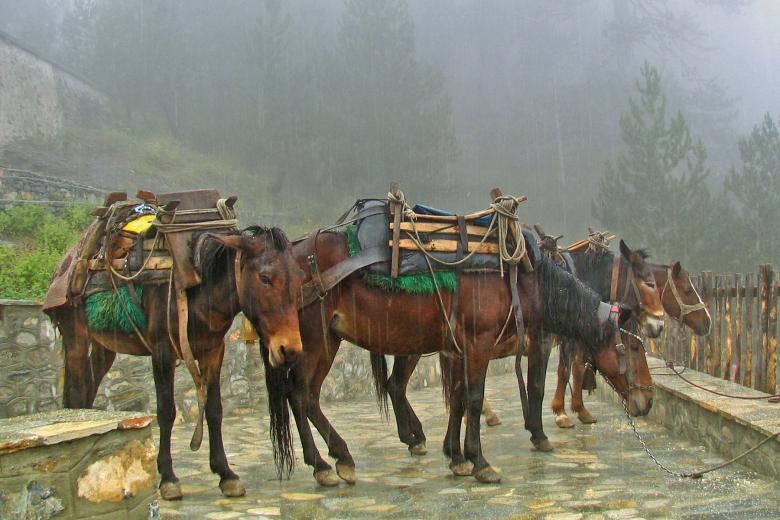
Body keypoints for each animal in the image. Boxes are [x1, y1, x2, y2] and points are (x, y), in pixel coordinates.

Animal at [46, 226, 304, 500]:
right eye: (265, 278)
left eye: (299, 277)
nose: (289, 351)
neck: (199, 290)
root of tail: (64, 263)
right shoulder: (162, 353)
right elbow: (166, 411)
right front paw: (168, 478)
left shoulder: (214, 351)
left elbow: (214, 410)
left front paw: (226, 474)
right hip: (76, 338)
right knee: (75, 394)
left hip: (105, 346)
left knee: (88, 389)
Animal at [373, 238, 664, 456]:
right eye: (649, 283)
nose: (659, 325)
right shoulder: (545, 342)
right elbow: (546, 381)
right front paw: (552, 422)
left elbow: (573, 370)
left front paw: (576, 411)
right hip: (412, 345)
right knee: (396, 385)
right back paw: (416, 437)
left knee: (397, 386)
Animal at [551, 258, 711, 427]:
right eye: (688, 291)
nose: (707, 322)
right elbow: (565, 370)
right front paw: (561, 413)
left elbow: (578, 367)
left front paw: (581, 410)